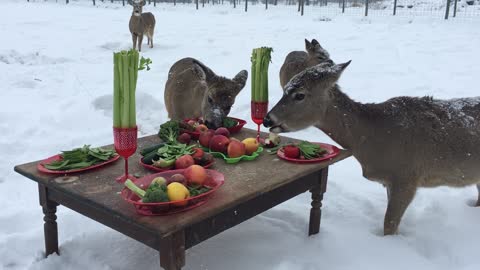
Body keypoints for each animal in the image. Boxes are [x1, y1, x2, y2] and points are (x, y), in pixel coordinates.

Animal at [264, 60, 480, 235]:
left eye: (299, 95)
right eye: (285, 89)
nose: (267, 119)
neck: (371, 138)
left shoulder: (407, 176)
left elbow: (389, 225)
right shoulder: (391, 181)